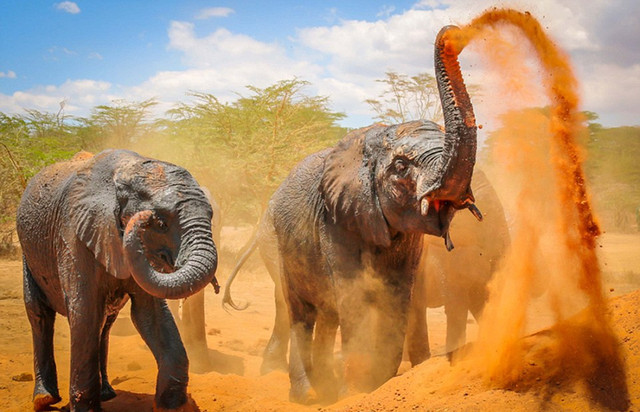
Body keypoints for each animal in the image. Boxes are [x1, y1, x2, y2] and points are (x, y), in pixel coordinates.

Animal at [15, 150, 220, 410]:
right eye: (161, 223)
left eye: (212, 217)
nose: (144, 218)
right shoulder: (74, 235)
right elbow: (84, 312)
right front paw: (85, 409)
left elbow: (151, 314)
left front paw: (171, 405)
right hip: (27, 253)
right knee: (39, 314)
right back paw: (43, 399)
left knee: (105, 323)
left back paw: (106, 393)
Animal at [258, 25, 478, 402]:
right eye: (401, 166)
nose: (456, 32)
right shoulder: (334, 219)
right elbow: (354, 296)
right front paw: (357, 390)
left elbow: (396, 296)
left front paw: (375, 385)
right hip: (280, 245)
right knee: (300, 313)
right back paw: (307, 395)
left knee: (327, 316)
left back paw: (326, 387)